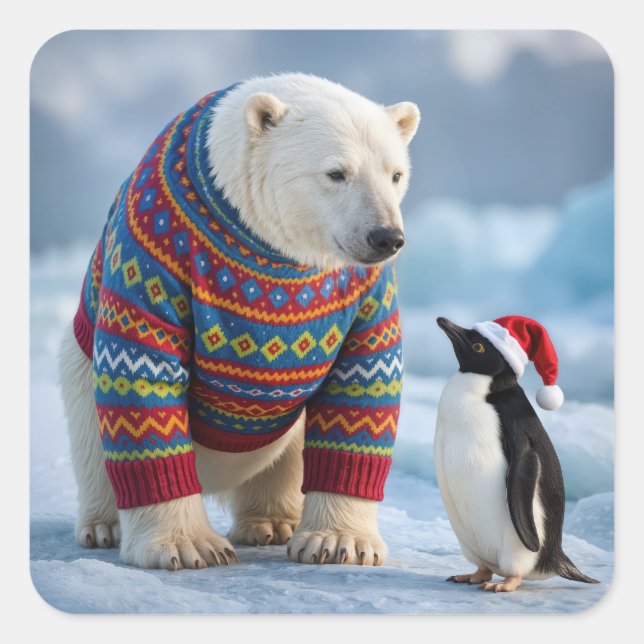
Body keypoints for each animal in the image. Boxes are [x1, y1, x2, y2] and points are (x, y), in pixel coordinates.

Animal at [58, 73, 420, 570]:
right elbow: (140, 368)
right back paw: (103, 526)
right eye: (336, 173)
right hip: (78, 367)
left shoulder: (362, 292)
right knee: (93, 440)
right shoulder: (155, 253)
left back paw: (272, 522)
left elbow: (365, 380)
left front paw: (338, 542)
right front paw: (189, 546)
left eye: (395, 173)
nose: (386, 237)